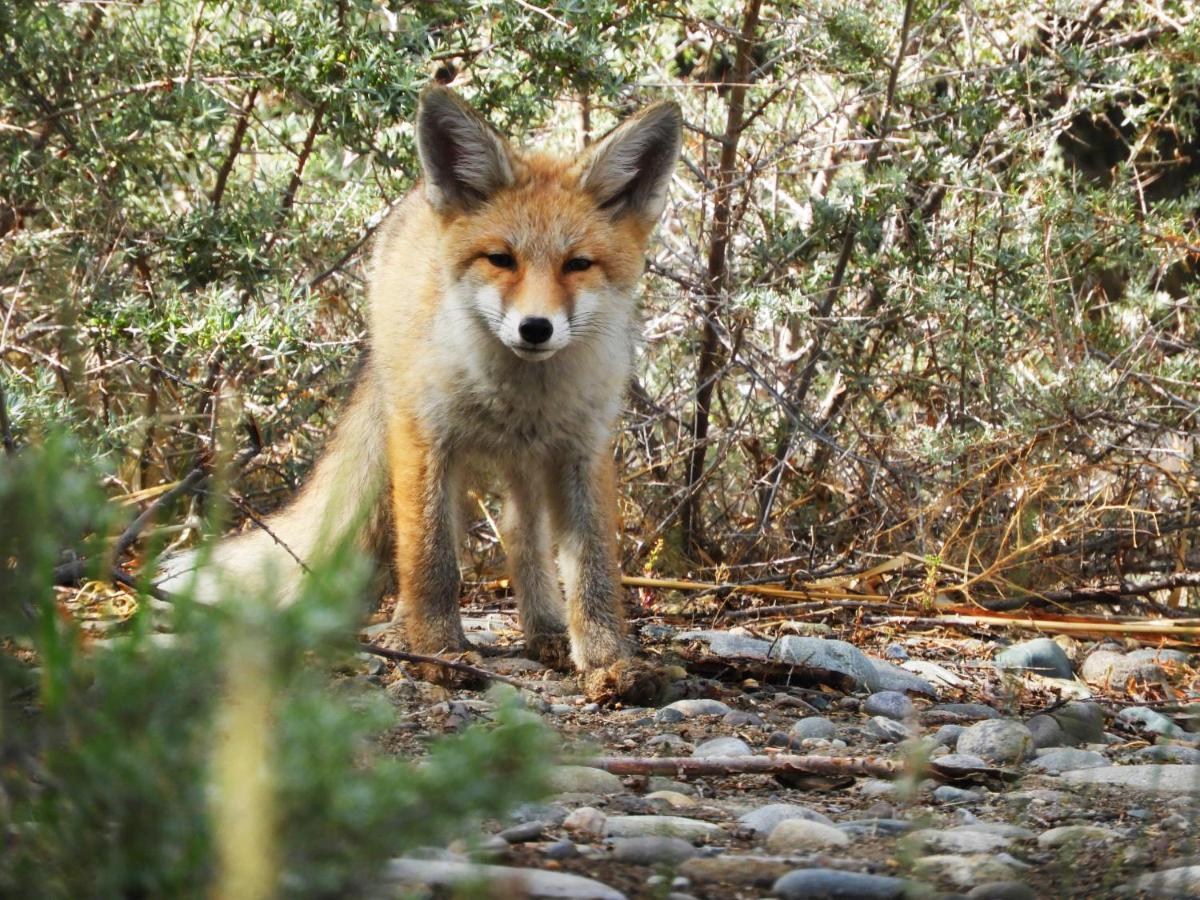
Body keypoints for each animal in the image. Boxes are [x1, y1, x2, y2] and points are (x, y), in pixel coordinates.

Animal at [158, 86, 681, 691]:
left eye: (578, 265)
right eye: (501, 259)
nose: (535, 328)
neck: (518, 397)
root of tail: (413, 199)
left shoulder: (583, 450)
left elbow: (595, 569)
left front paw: (608, 661)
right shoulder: (426, 438)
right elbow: (431, 559)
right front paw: (440, 652)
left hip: (525, 465)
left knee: (521, 538)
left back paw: (545, 630)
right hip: (419, 440)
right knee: (425, 545)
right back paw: (408, 629)